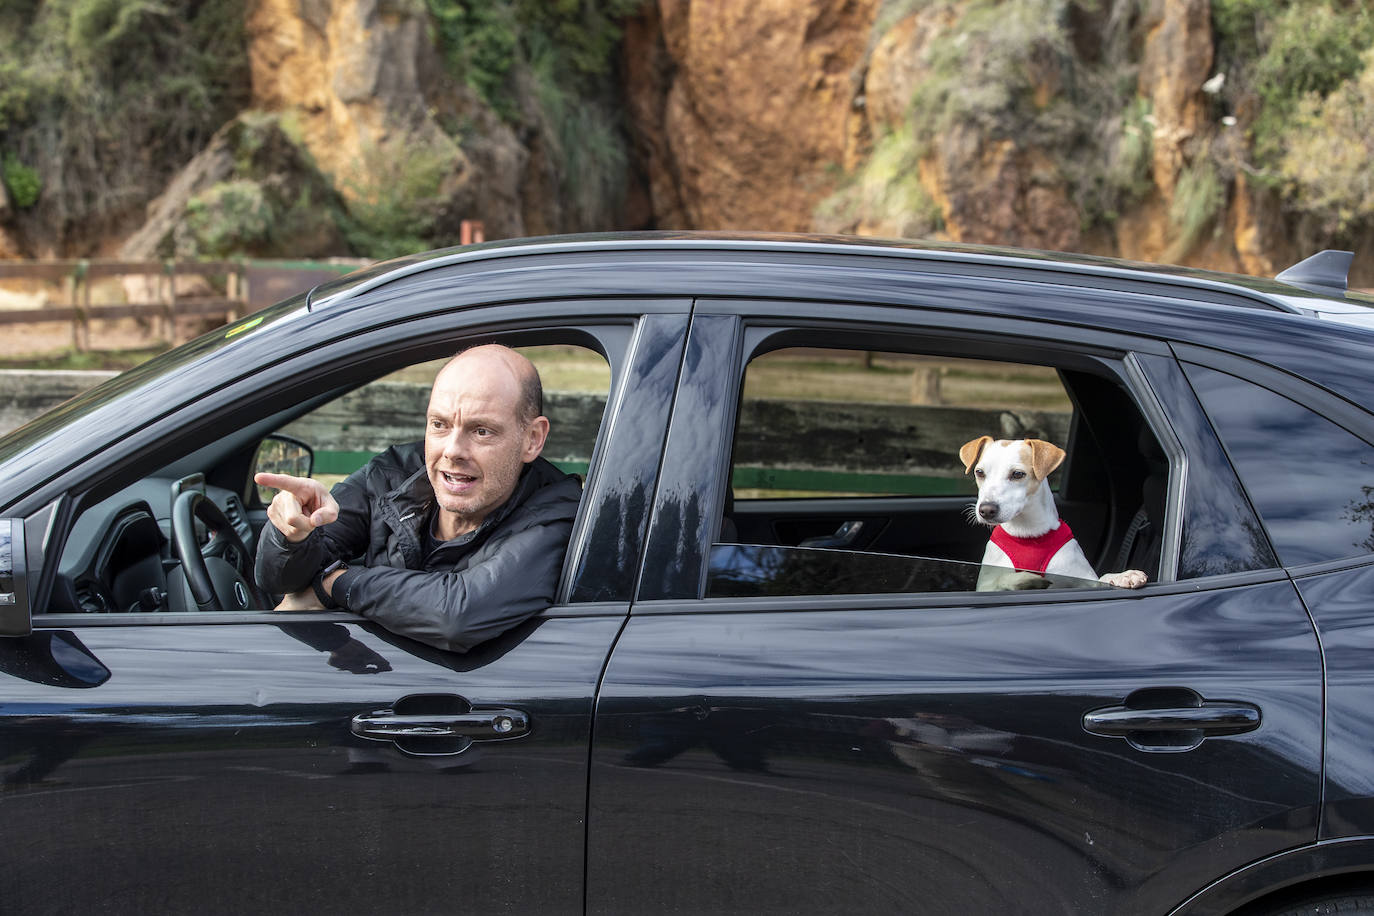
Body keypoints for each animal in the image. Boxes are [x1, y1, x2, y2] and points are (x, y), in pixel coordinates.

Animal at [961, 439, 1154, 590]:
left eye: (1017, 474)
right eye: (979, 472)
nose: (986, 510)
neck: (1028, 535)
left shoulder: (1082, 579)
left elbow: (1100, 579)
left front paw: (1122, 576)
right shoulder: (986, 586)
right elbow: (1002, 579)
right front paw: (1025, 578)